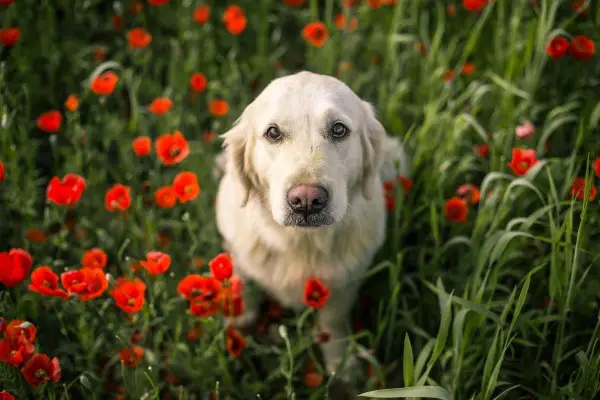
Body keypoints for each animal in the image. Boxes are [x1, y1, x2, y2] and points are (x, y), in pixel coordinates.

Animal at [213, 70, 410, 386]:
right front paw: (237, 328)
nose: (306, 200)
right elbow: (244, 293)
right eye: (273, 133)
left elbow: (333, 324)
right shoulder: (239, 260)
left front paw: (342, 367)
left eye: (339, 129)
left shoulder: (342, 287)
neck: (302, 243)